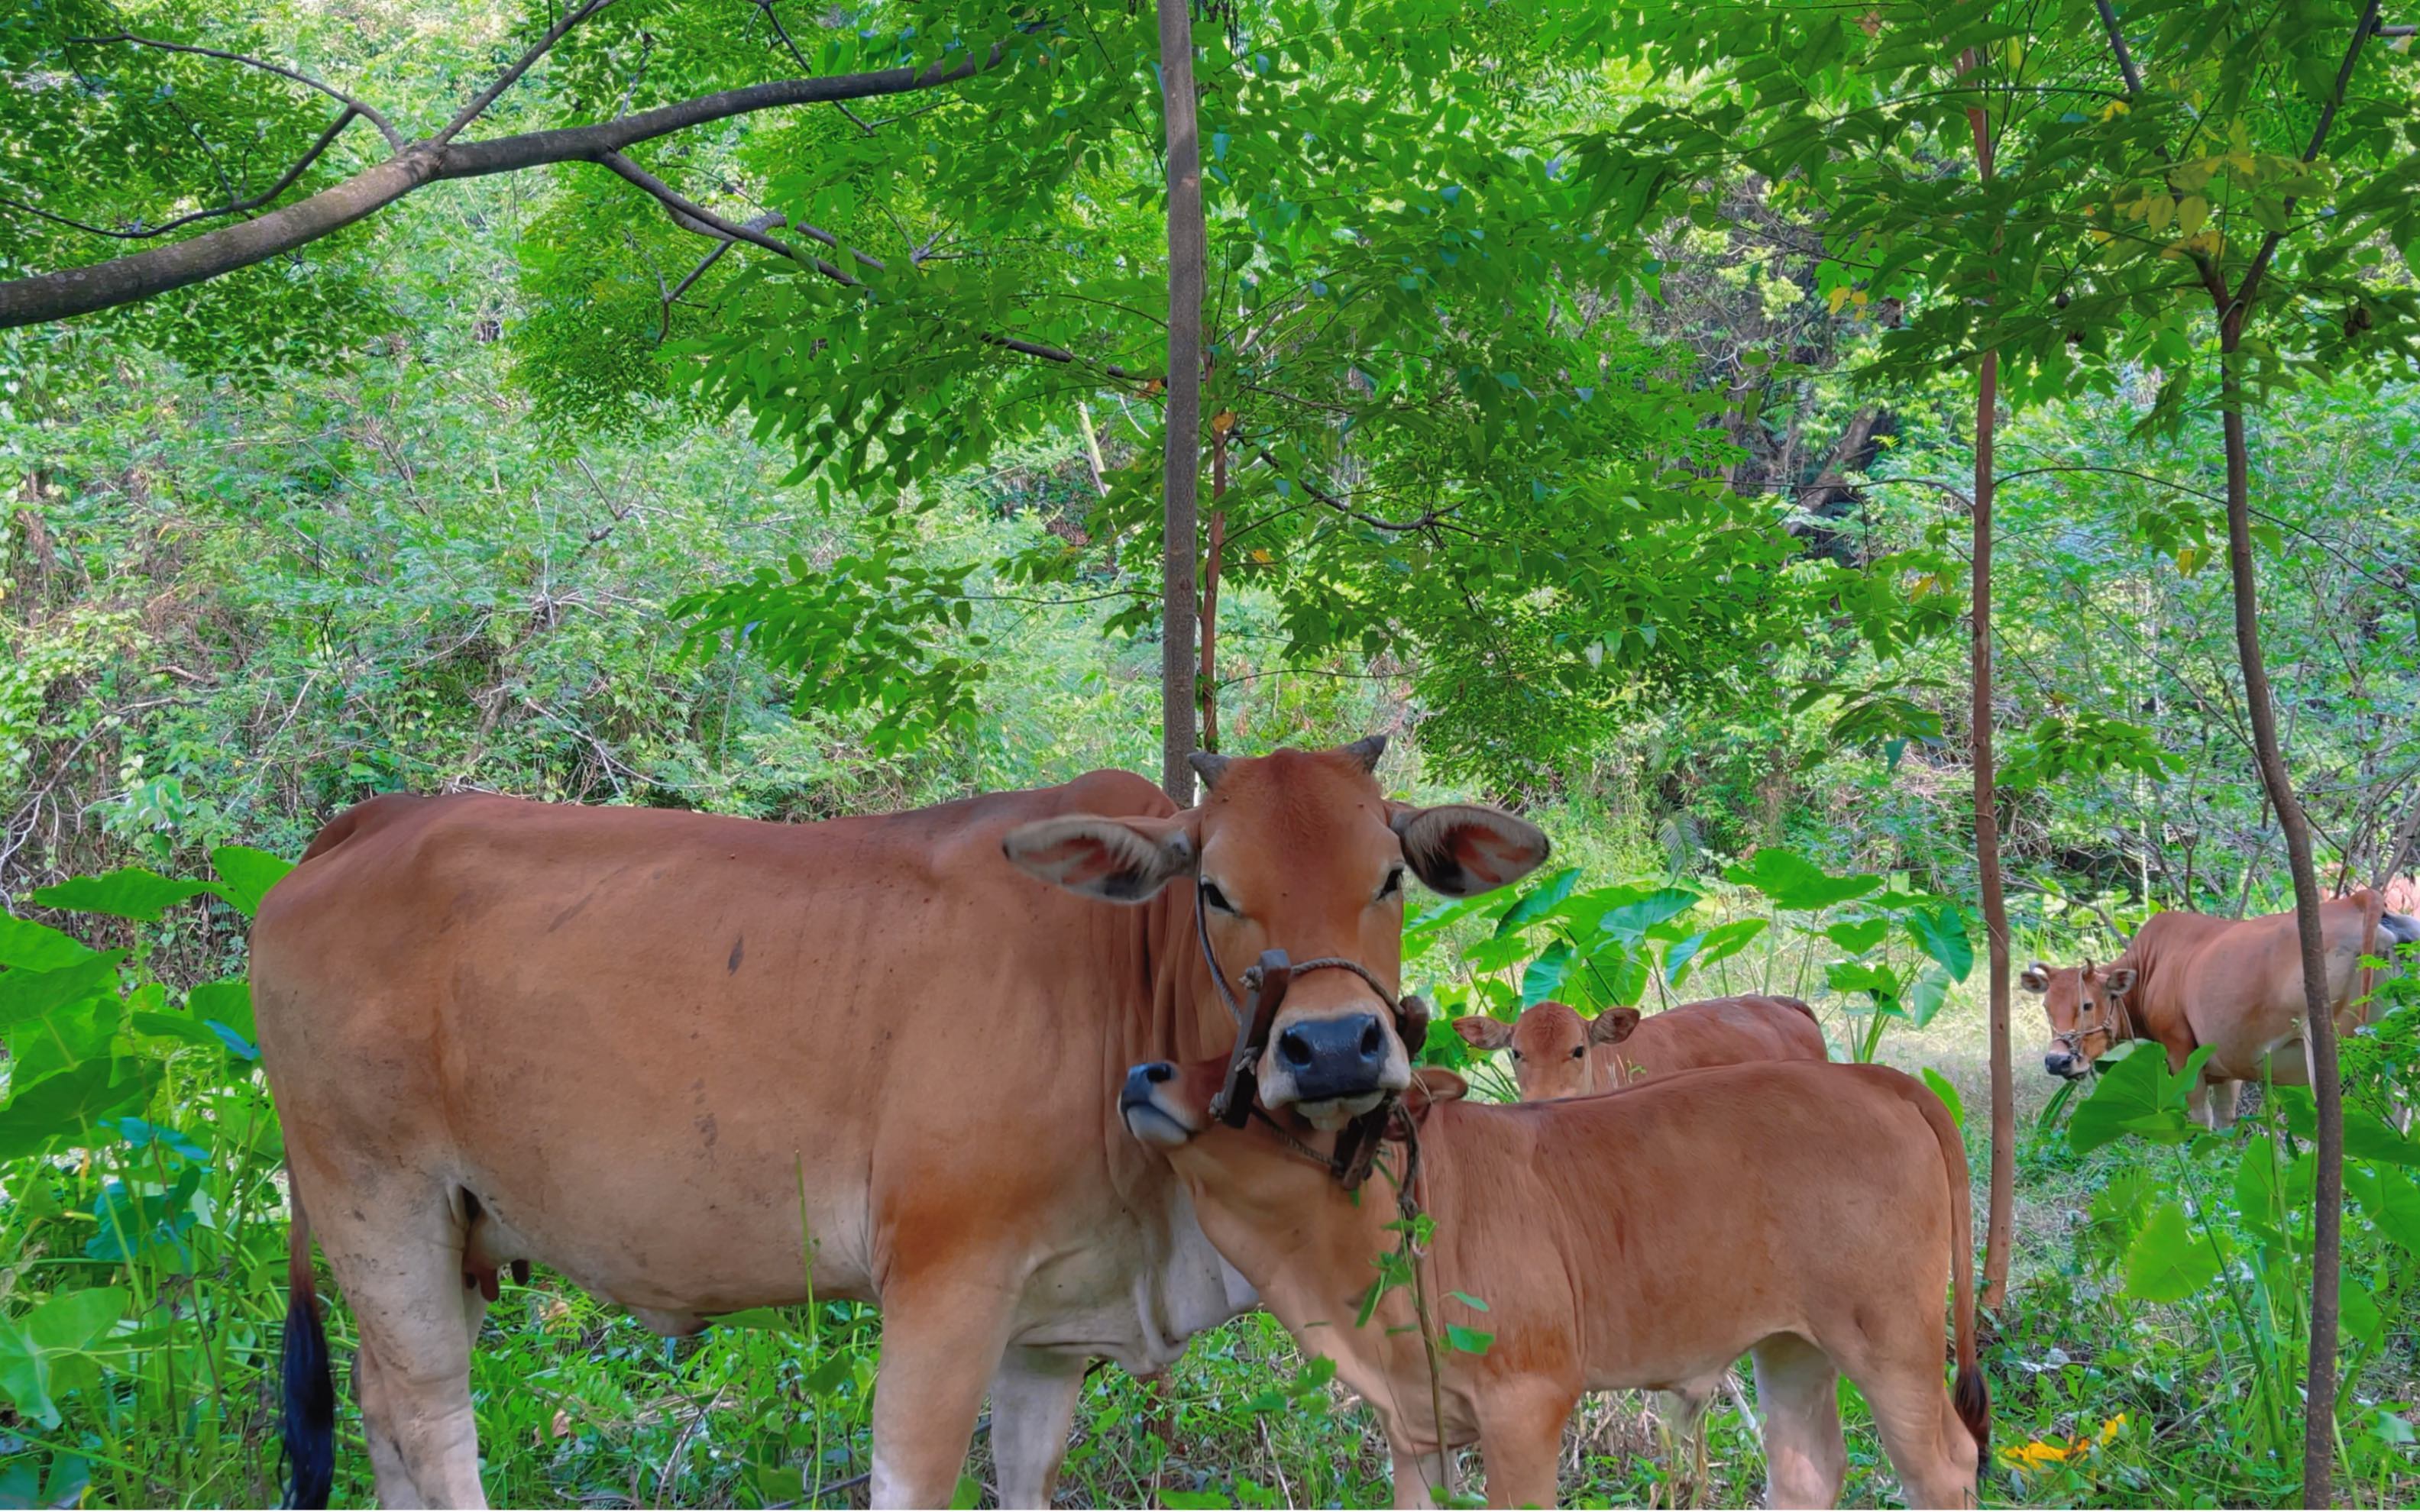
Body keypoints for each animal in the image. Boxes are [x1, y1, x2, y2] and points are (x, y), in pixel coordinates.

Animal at [260, 735, 1548, 1500]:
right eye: (1215, 888)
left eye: (1391, 875)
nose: (1332, 1046)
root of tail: (370, 822)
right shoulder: (941, 1286)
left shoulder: (1052, 1329)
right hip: (378, 1207)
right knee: (429, 1418)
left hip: (454, 1236)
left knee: (382, 1414)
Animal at [1113, 1055, 1984, 1500]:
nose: (1144, 1071)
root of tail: (1872, 1075)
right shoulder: (1413, 1429)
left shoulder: (1526, 1407)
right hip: (1794, 1345)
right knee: (1808, 1467)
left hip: (1891, 1339)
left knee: (1944, 1462)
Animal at [2013, 890, 2410, 1127]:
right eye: (2047, 1007)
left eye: (2087, 1004)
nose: (2057, 1061)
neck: (2151, 968)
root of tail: (2358, 900)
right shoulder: (2229, 1065)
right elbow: (2224, 1122)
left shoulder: (2181, 1052)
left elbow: (2200, 1118)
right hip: (2391, 1051)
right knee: (2401, 1108)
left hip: (2333, 1054)